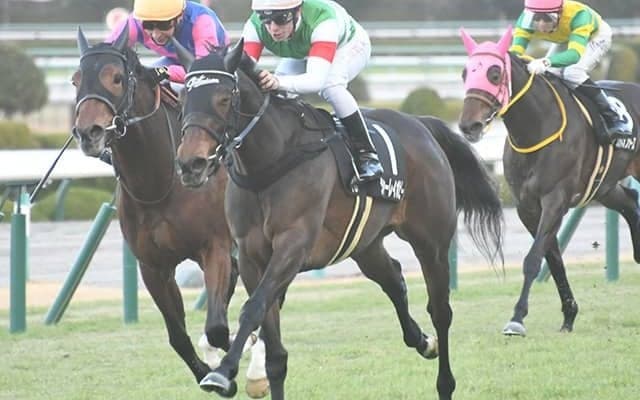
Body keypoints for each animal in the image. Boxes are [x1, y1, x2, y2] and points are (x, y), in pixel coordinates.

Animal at [70, 26, 268, 397]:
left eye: (116, 78)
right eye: (76, 80)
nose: (89, 132)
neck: (158, 186)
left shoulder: (215, 248)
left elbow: (219, 327)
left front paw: (236, 370)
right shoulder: (153, 266)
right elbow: (178, 335)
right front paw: (210, 369)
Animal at [171, 39, 504, 400]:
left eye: (223, 98)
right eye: (185, 97)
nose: (190, 164)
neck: (269, 164)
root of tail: (420, 125)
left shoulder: (293, 246)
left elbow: (253, 307)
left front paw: (222, 372)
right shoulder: (250, 256)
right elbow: (275, 352)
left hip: (432, 242)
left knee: (441, 311)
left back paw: (444, 381)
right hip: (366, 245)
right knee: (393, 279)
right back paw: (421, 340)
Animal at [457, 26, 640, 337]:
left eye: (494, 73)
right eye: (464, 73)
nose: (469, 125)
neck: (537, 127)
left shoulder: (556, 200)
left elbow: (533, 259)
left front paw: (517, 318)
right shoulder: (527, 206)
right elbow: (553, 260)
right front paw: (569, 315)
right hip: (604, 186)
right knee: (629, 202)